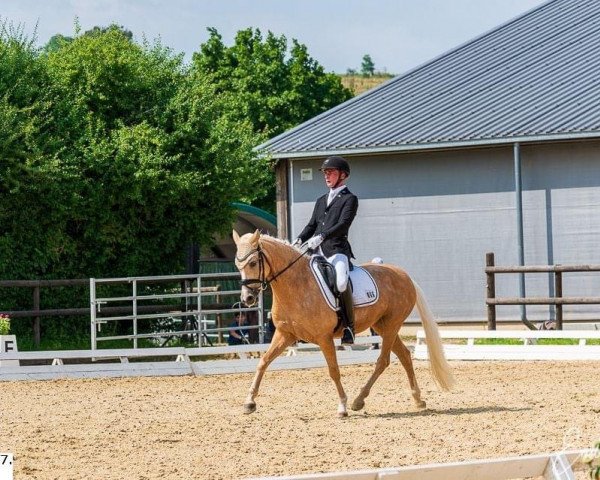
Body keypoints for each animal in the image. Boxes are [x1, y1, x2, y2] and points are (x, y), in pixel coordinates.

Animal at [232, 230, 452, 416]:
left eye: (253, 263)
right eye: (237, 265)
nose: (247, 298)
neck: (295, 284)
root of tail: (403, 274)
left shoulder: (324, 337)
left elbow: (334, 370)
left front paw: (342, 406)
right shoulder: (285, 334)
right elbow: (263, 362)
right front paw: (249, 402)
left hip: (391, 325)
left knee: (383, 360)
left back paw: (358, 400)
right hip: (382, 326)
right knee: (404, 355)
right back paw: (417, 399)